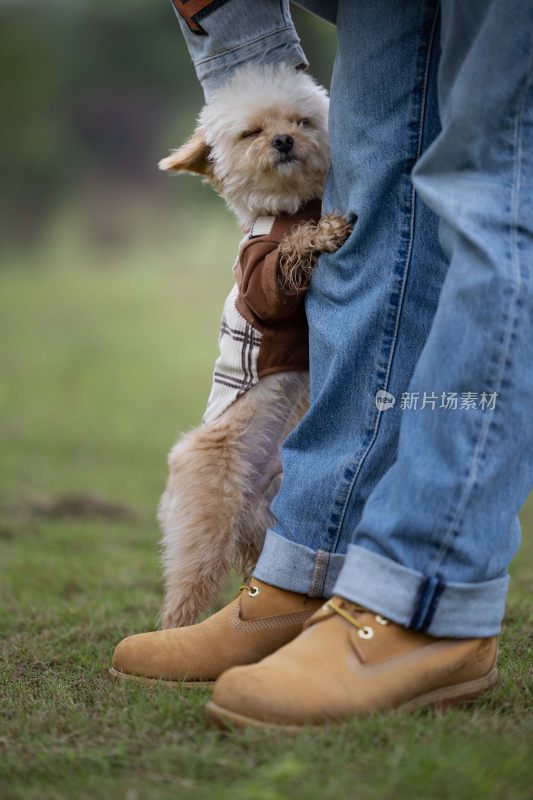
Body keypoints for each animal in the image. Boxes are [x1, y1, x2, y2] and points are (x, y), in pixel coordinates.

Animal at [156, 65, 352, 628]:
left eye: (301, 121)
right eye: (251, 133)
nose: (283, 141)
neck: (287, 204)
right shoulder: (259, 283)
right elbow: (282, 263)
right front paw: (322, 232)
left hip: (265, 523)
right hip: (206, 522)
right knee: (183, 595)